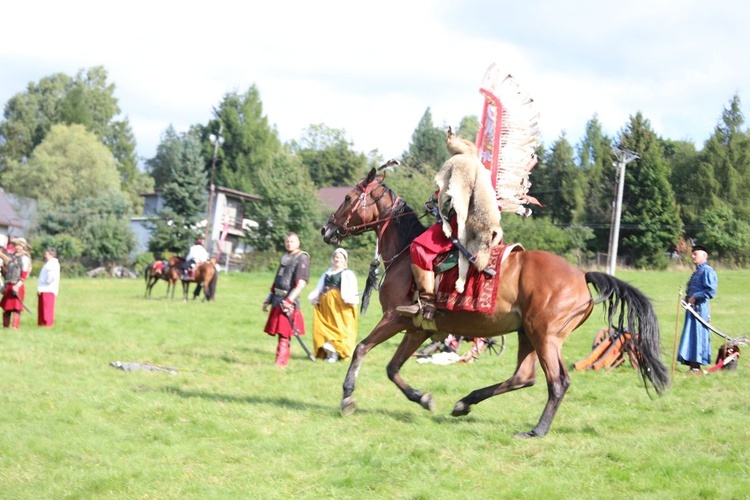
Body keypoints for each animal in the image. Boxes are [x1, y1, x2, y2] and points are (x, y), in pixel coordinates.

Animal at [320, 165, 672, 438]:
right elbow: (393, 368)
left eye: (348, 198)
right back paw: (466, 402)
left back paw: (536, 430)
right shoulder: (418, 328)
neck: (405, 253)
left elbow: (361, 348)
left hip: (544, 336)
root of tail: (582, 275)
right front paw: (422, 398)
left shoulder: (395, 318)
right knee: (524, 377)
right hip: (528, 334)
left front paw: (347, 396)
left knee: (557, 382)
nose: (326, 229)